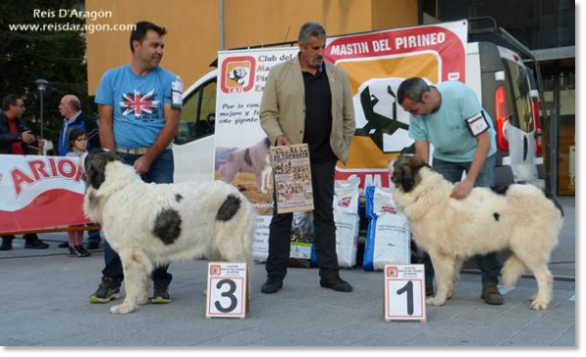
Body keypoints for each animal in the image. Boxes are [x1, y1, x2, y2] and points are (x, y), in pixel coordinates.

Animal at [82, 150, 256, 314]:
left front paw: (126, 306)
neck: (116, 188)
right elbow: (143, 279)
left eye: (89, 155)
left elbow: (130, 282)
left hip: (230, 244)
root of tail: (238, 194)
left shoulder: (129, 254)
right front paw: (141, 299)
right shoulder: (140, 255)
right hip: (218, 246)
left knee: (244, 267)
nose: (83, 151)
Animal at [388, 155, 560, 308]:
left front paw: (438, 300)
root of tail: (549, 196)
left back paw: (541, 301)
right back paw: (538, 297)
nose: (388, 160)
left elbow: (442, 279)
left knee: (545, 276)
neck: (424, 192)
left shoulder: (438, 254)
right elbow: (450, 278)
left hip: (526, 247)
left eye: (396, 162)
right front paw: (448, 294)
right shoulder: (453, 255)